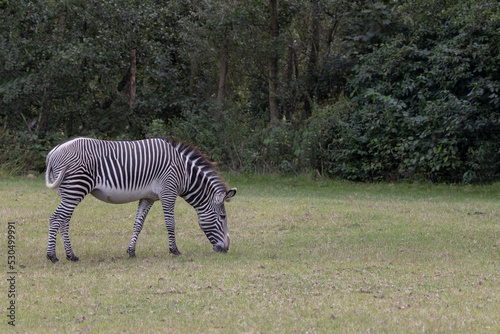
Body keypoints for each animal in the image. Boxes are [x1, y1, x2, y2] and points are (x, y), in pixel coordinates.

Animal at [44, 137, 236, 262]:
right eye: (223, 217)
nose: (226, 249)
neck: (184, 173)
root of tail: (53, 152)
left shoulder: (147, 197)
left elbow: (138, 224)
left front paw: (131, 252)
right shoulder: (168, 192)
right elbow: (170, 223)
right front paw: (174, 250)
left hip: (68, 191)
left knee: (64, 221)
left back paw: (71, 255)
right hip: (76, 188)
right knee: (55, 219)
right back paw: (52, 256)